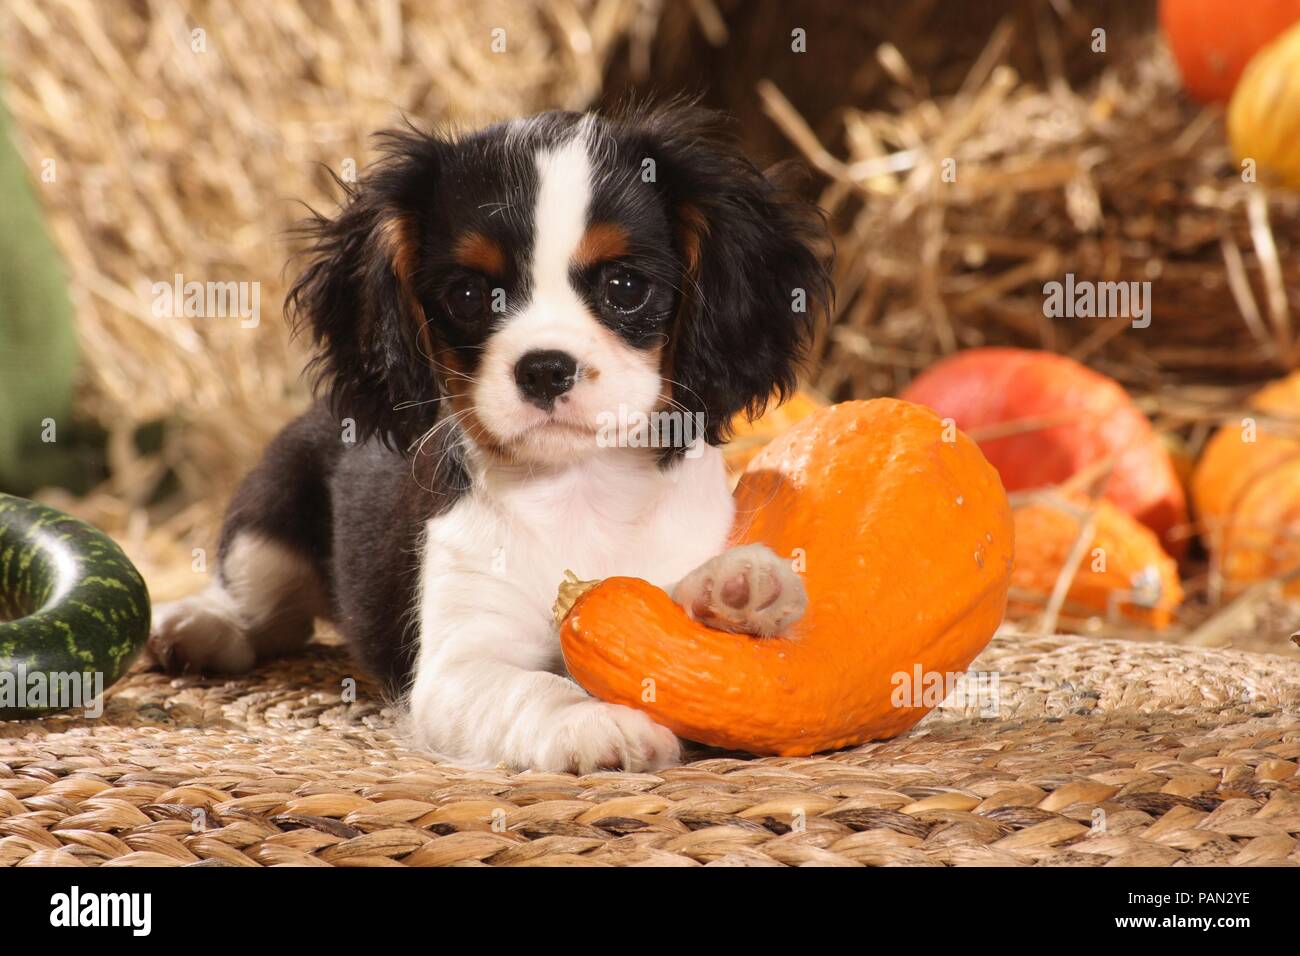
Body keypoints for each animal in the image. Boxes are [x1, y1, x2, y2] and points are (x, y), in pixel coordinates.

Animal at [149, 104, 832, 775]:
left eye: (625, 287)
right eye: (470, 295)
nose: (545, 368)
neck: (579, 489)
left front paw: (736, 590)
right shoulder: (458, 668)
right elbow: (533, 688)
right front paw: (593, 722)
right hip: (269, 513)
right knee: (260, 607)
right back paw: (197, 626)